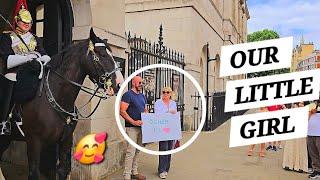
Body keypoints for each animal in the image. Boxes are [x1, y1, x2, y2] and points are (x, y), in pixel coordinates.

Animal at [0, 28, 123, 179]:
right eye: (102, 55)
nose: (119, 84)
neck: (58, 98)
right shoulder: (34, 141)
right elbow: (34, 173)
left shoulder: (65, 140)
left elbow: (62, 170)